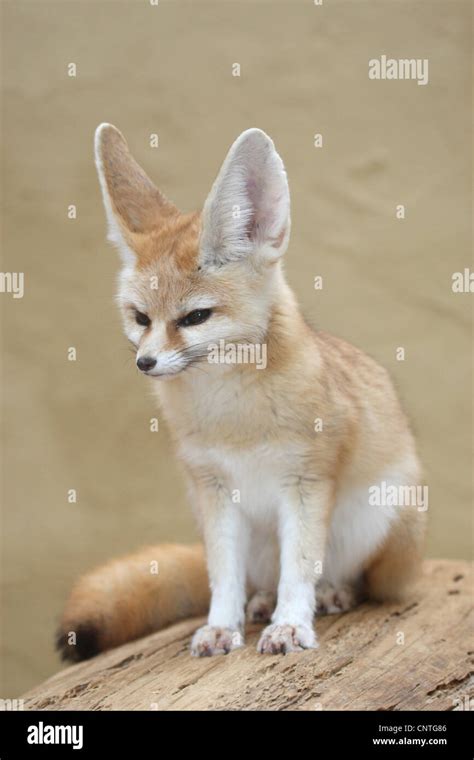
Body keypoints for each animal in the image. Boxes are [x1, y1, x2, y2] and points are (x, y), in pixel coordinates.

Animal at [56, 124, 426, 660]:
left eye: (195, 317)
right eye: (140, 318)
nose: (145, 363)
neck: (233, 418)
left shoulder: (305, 484)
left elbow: (300, 569)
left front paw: (290, 625)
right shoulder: (214, 491)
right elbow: (223, 577)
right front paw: (220, 626)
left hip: (382, 517)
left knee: (360, 580)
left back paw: (335, 593)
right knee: (254, 580)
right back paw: (261, 602)